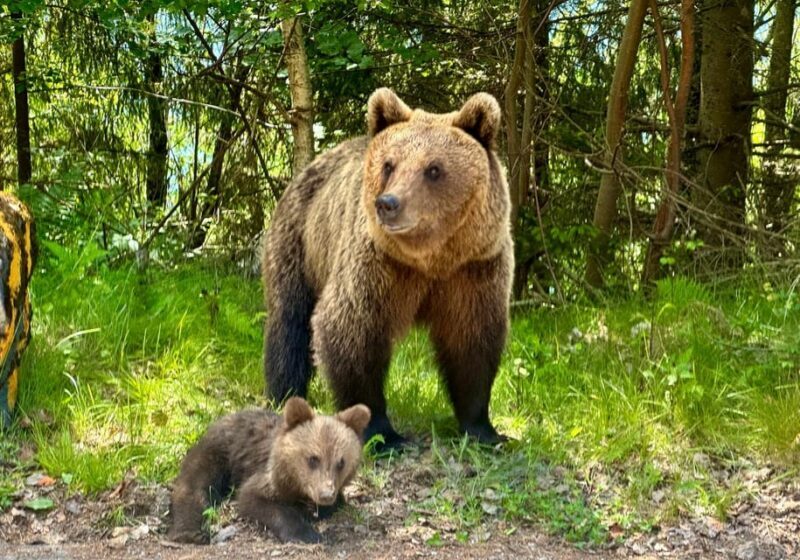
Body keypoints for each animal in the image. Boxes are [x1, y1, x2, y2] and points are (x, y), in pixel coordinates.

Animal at [168, 397, 370, 544]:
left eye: (341, 462)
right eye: (313, 458)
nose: (325, 495)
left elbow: (335, 504)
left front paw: (315, 510)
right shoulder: (268, 476)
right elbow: (255, 500)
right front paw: (306, 533)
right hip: (220, 453)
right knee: (196, 485)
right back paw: (190, 533)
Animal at [263, 88, 513, 450]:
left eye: (433, 169)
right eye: (389, 164)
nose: (389, 203)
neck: (431, 259)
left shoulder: (473, 270)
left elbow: (472, 342)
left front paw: (485, 429)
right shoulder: (379, 266)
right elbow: (352, 331)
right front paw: (382, 433)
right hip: (299, 244)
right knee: (289, 322)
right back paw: (284, 396)